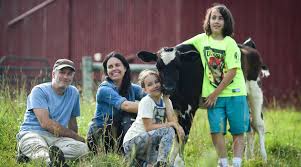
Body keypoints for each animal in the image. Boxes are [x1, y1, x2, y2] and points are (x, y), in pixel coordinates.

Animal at [137, 38, 268, 162]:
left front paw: (179, 162)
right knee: (249, 127)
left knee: (259, 124)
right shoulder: (174, 109)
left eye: (178, 66)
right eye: (158, 66)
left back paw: (264, 158)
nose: (168, 88)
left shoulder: (189, 109)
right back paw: (249, 158)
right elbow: (175, 136)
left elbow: (183, 136)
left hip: (255, 92)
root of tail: (247, 46)